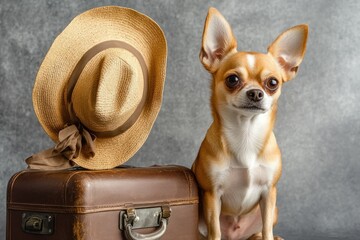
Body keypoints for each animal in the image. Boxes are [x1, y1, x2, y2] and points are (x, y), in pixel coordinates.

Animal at [193, 7, 308, 240]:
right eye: (233, 80)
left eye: (272, 83)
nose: (256, 93)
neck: (245, 132)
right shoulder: (212, 195)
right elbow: (215, 230)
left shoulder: (269, 192)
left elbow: (267, 229)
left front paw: (269, 236)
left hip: (274, 210)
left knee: (261, 230)